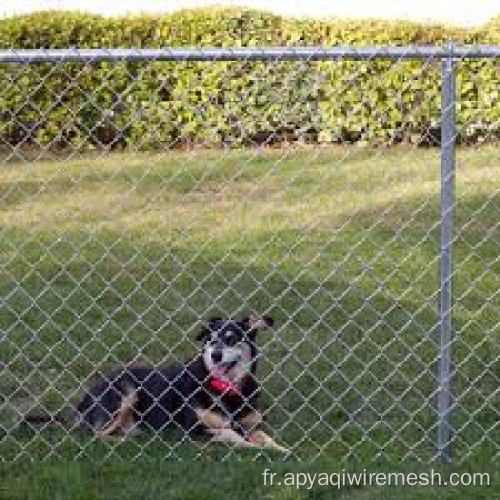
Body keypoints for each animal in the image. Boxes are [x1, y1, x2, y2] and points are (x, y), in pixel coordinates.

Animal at [66, 314, 286, 452]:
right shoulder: (195, 429)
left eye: (231, 339)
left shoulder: (251, 425)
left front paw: (281, 449)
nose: (215, 355)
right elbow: (232, 434)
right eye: (211, 339)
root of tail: (86, 396)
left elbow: (264, 436)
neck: (227, 389)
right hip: (127, 391)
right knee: (97, 435)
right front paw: (254, 448)